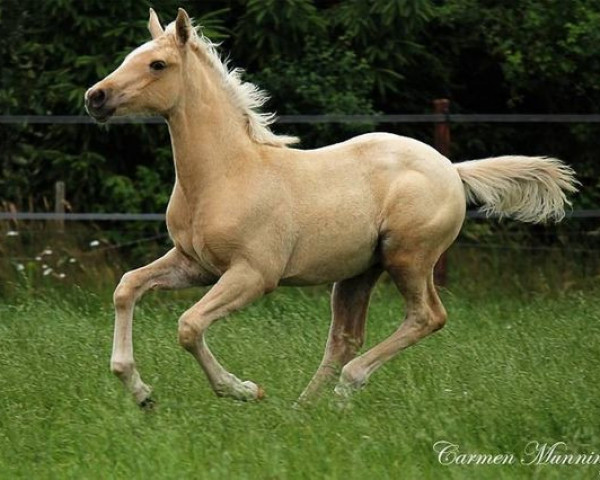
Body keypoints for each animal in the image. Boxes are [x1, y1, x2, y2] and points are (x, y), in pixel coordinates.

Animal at [84, 8, 576, 408]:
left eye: (157, 64)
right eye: (130, 56)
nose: (95, 97)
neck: (226, 173)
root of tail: (452, 170)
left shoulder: (252, 275)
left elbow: (188, 326)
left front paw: (243, 389)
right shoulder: (195, 264)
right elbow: (127, 287)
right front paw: (141, 392)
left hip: (409, 258)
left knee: (426, 318)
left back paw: (344, 389)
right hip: (358, 272)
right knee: (345, 338)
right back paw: (303, 409)